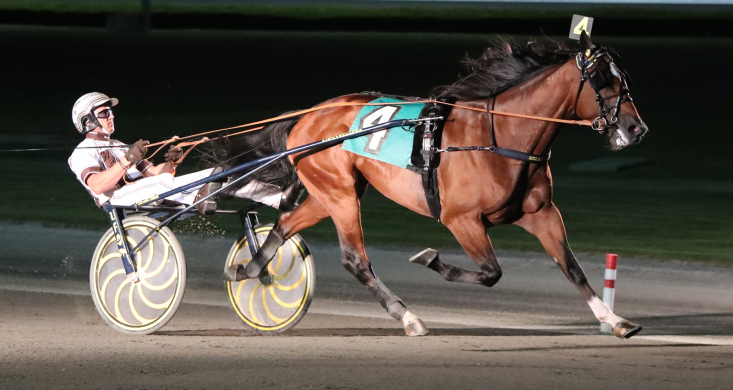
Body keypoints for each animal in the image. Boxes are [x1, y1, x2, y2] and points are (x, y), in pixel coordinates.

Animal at [216, 33, 648, 338]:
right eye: (600, 79)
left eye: (623, 78)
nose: (635, 129)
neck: (499, 136)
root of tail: (308, 116)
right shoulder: (462, 220)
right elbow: (490, 273)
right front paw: (428, 258)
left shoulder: (541, 214)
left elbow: (572, 268)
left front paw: (615, 320)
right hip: (339, 195)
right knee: (355, 260)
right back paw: (408, 317)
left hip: (331, 193)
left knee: (285, 225)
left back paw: (247, 270)